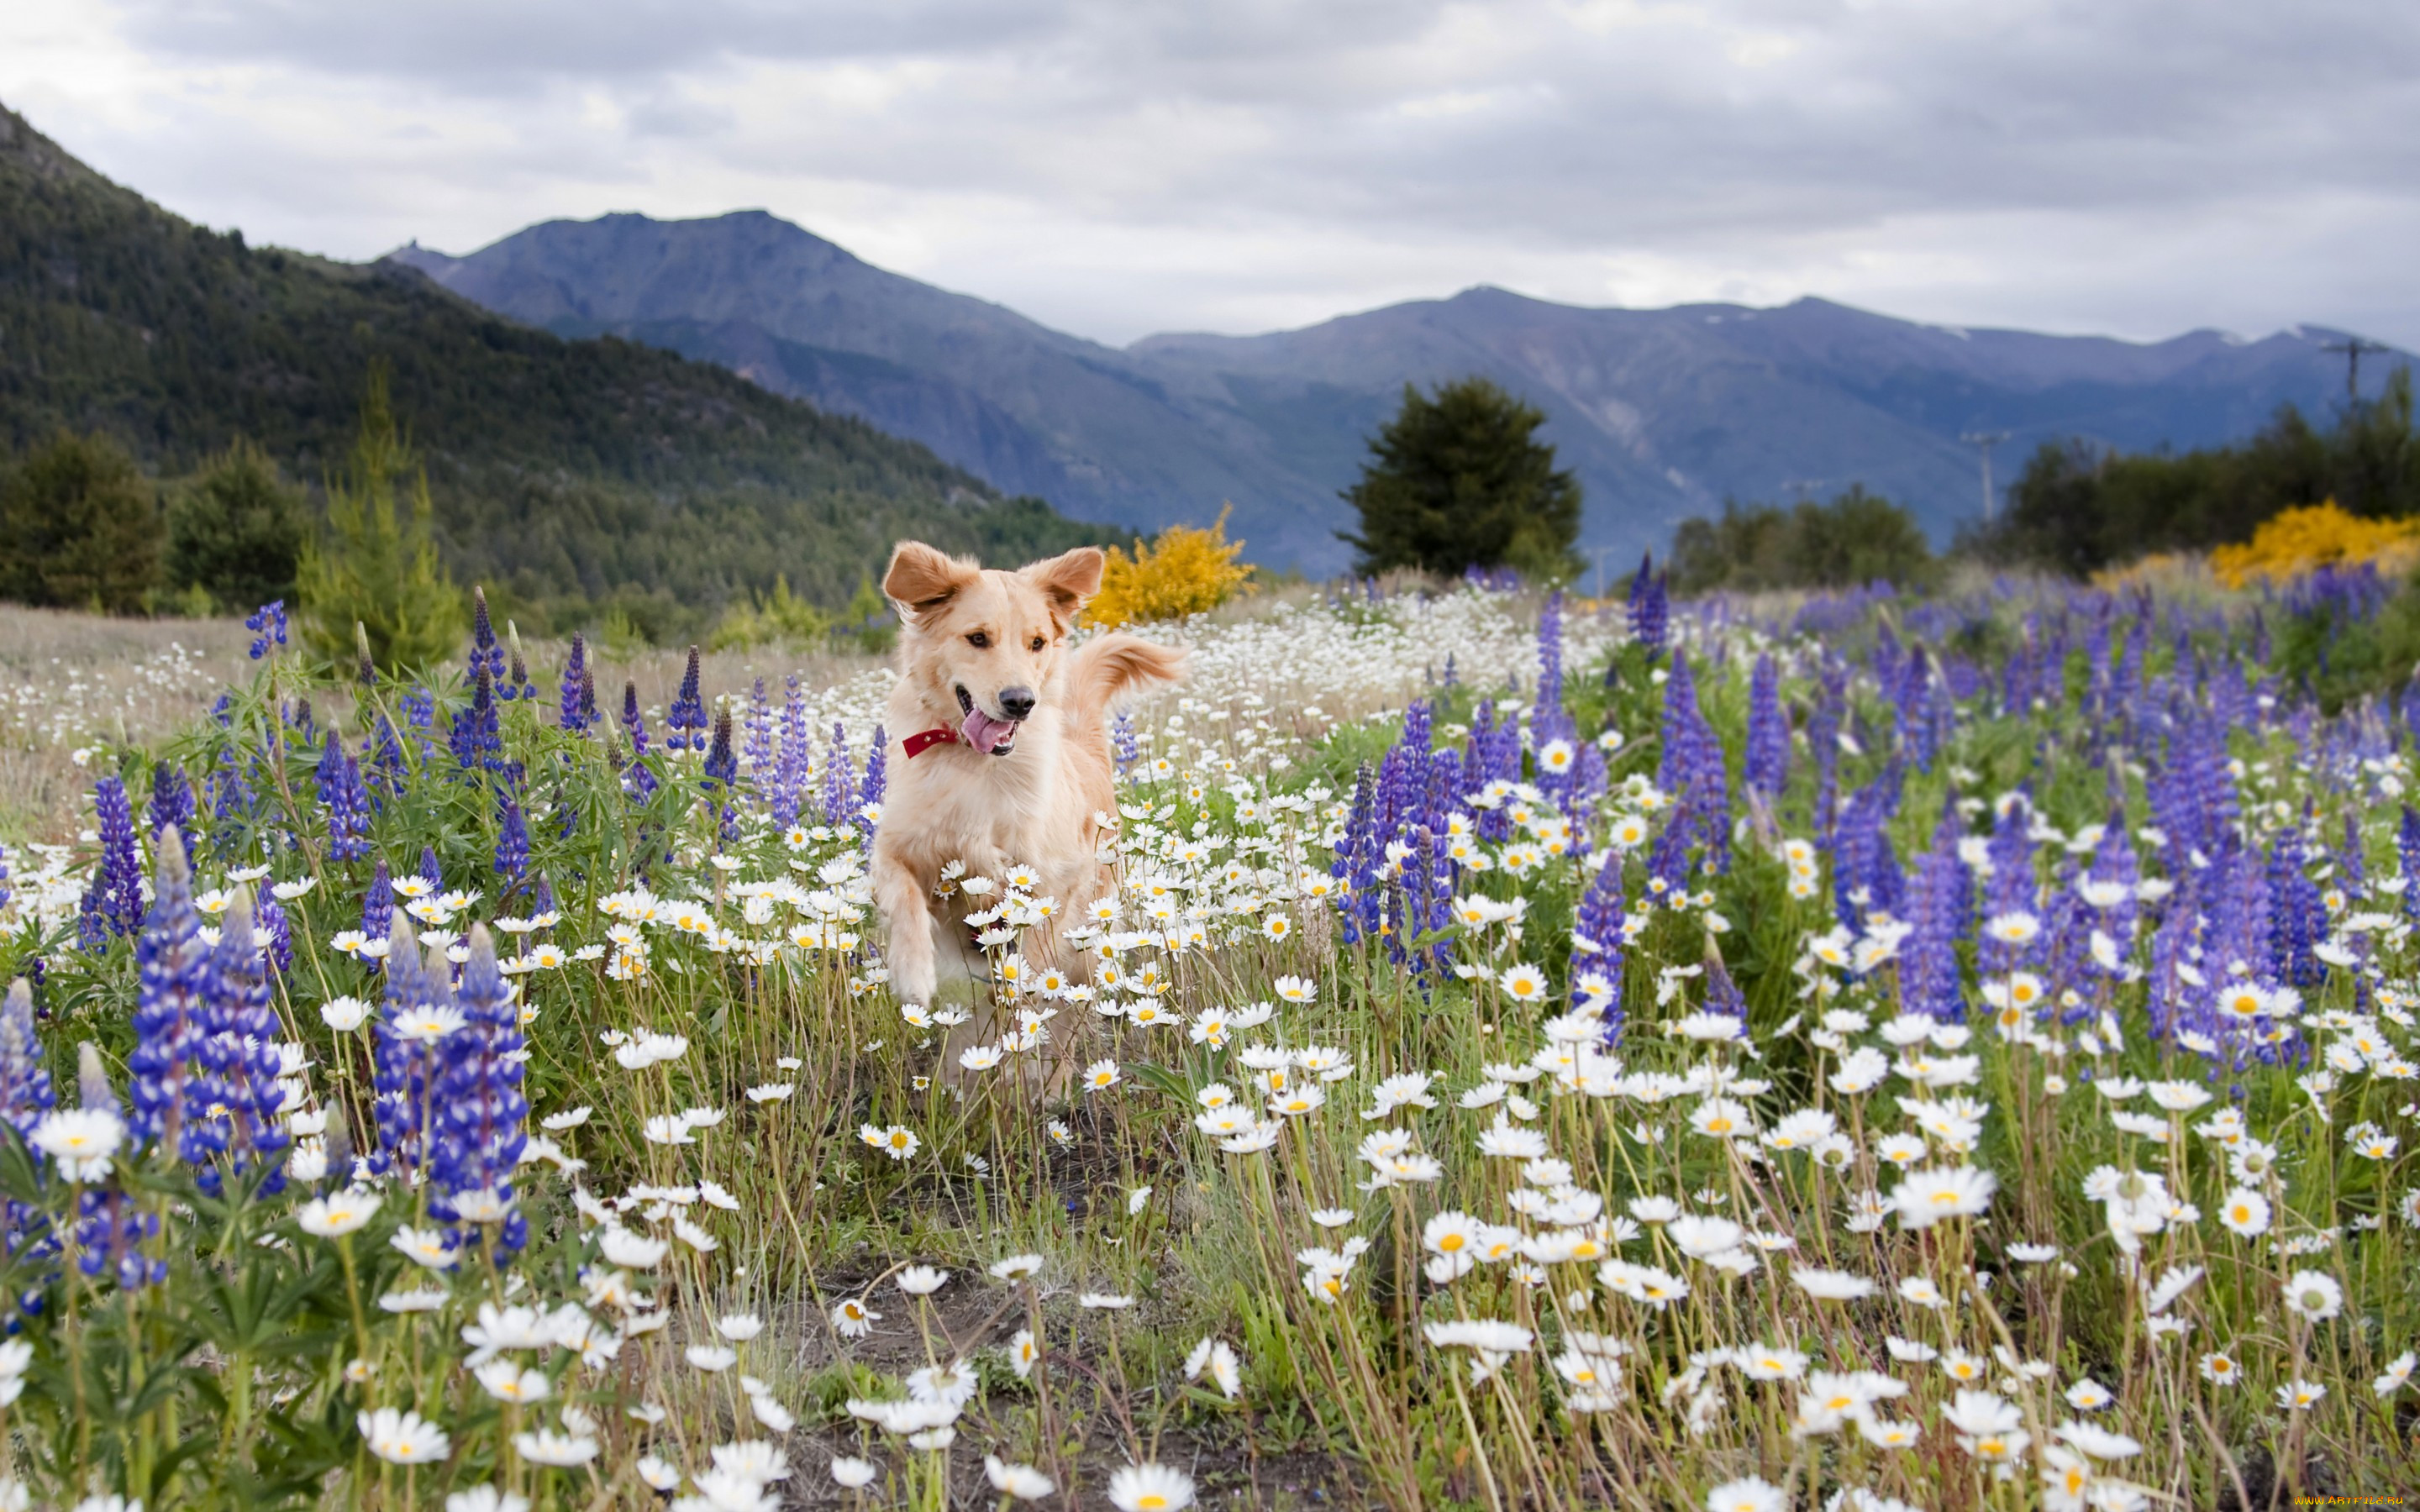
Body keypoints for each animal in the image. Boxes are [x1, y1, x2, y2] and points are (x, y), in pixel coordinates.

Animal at [876, 539, 1186, 1035]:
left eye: (1036, 643)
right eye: (977, 638)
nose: (1020, 702)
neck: (977, 763)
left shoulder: (1051, 879)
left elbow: (1034, 955)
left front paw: (1023, 1008)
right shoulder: (895, 848)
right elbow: (903, 895)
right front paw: (913, 972)